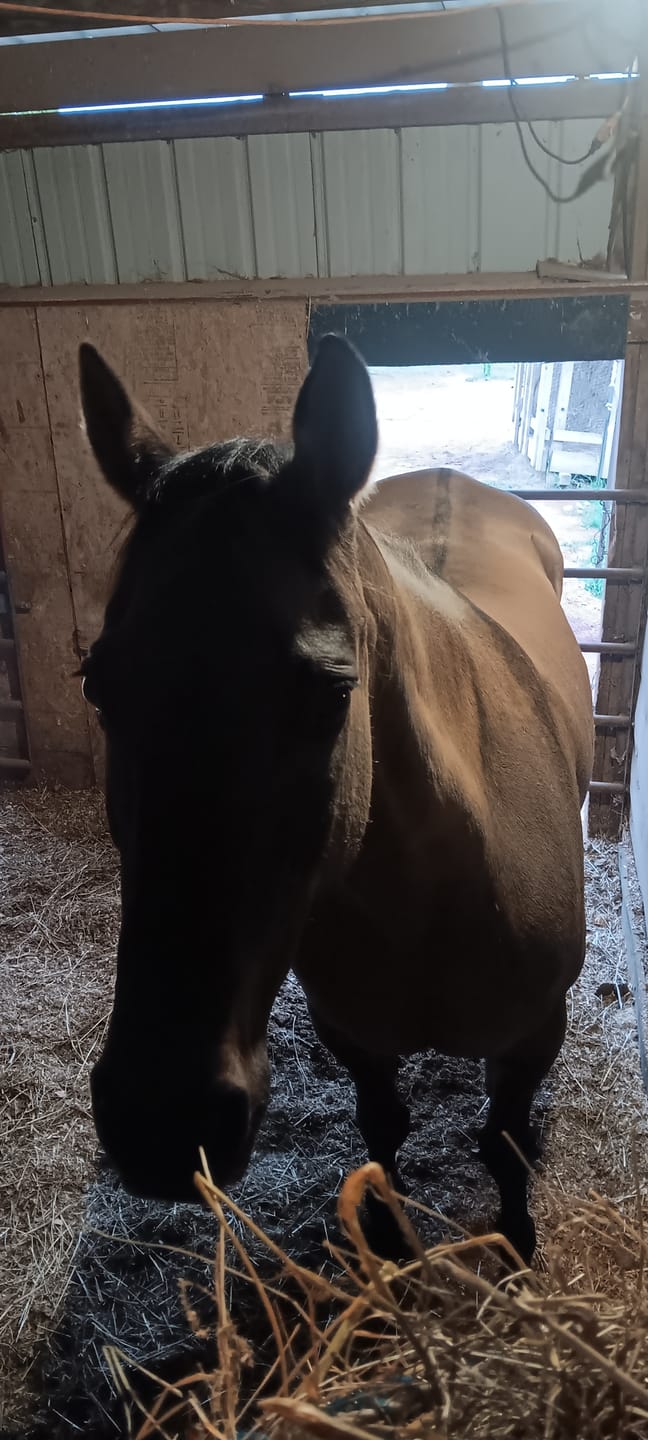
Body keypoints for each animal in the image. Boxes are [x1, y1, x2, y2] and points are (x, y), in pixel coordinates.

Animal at [78, 334, 593, 1262]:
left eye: (329, 695)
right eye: (98, 686)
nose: (161, 1121)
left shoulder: (534, 1036)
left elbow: (501, 1142)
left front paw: (515, 1243)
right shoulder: (357, 1039)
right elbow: (383, 1130)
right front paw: (386, 1238)